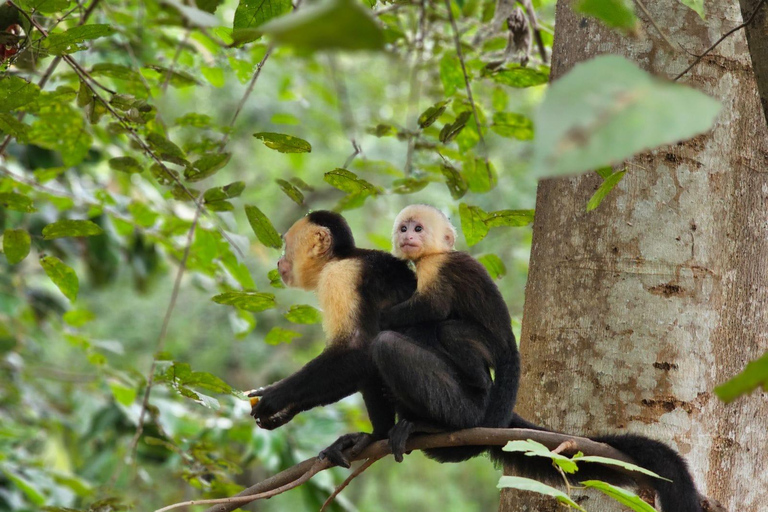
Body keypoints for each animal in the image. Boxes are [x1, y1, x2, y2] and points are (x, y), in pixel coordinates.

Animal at [379, 204, 704, 512]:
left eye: (418, 229)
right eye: (404, 228)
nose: (408, 237)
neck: (433, 254)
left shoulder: (436, 266)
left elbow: (433, 306)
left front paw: (383, 315)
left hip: (491, 348)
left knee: (451, 331)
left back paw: (478, 385)